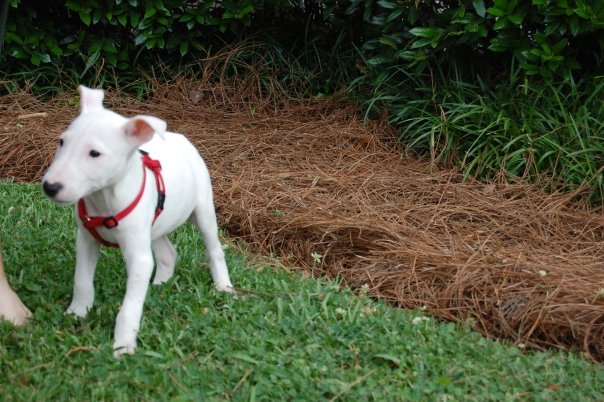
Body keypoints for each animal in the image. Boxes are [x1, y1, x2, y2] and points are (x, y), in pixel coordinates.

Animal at [42, 85, 234, 358]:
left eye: (94, 153)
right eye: (62, 142)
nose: (50, 187)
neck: (105, 199)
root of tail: (179, 137)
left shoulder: (138, 256)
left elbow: (130, 306)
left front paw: (123, 344)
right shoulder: (86, 240)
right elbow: (82, 281)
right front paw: (76, 313)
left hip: (203, 210)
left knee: (214, 249)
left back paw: (223, 286)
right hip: (154, 227)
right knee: (168, 253)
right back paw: (159, 284)